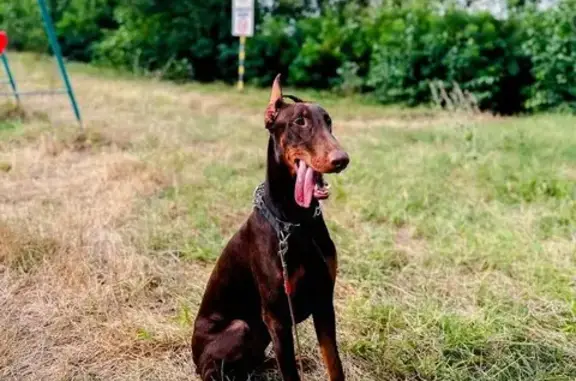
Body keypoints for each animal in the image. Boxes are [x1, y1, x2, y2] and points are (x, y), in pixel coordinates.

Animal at [191, 74, 348, 380]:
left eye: (328, 121)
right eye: (299, 122)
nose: (341, 159)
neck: (296, 222)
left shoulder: (324, 301)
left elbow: (335, 364)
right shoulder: (277, 317)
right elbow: (291, 374)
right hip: (241, 328)